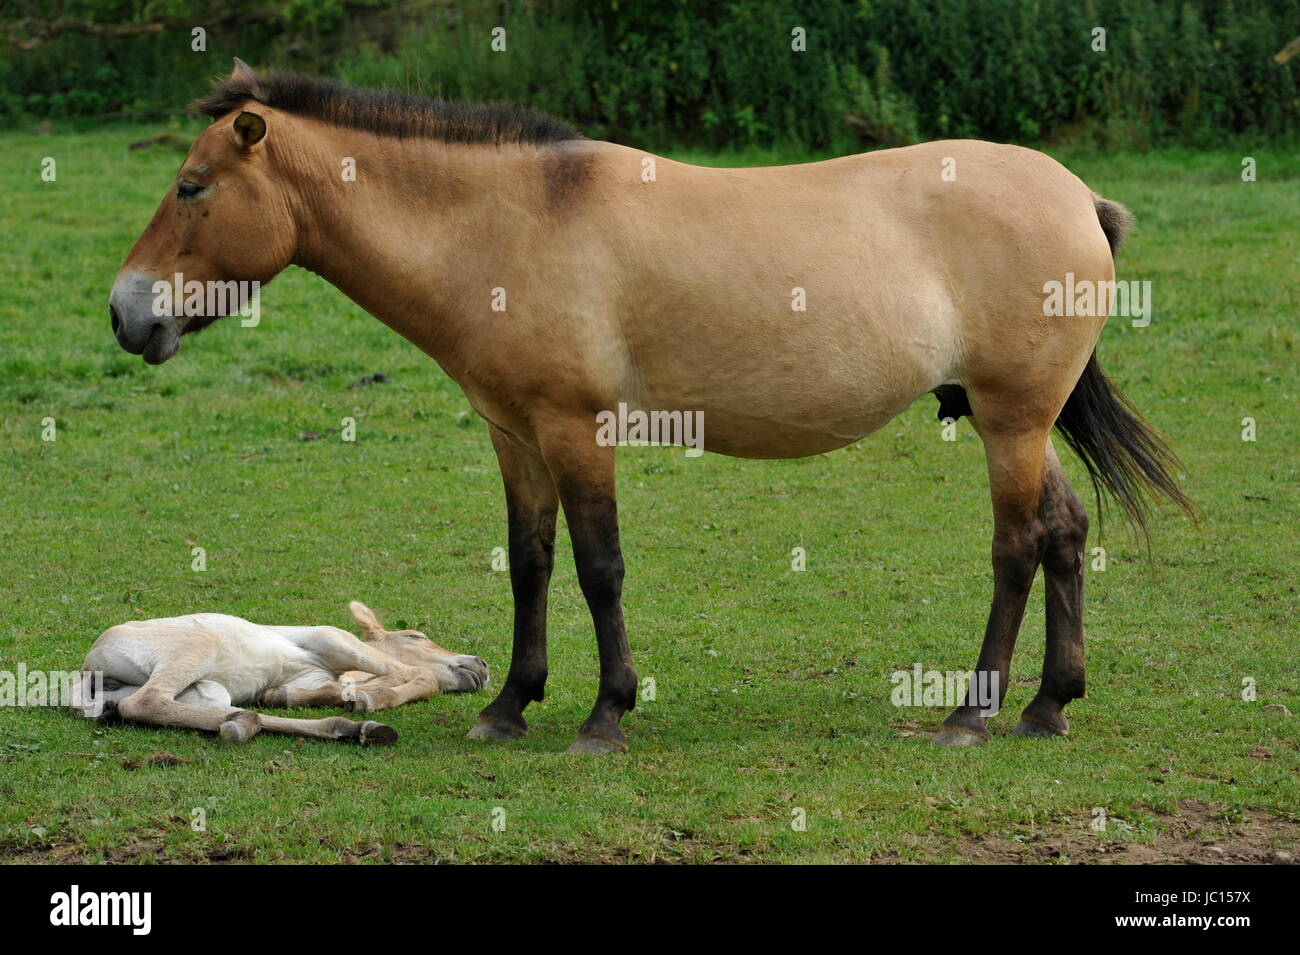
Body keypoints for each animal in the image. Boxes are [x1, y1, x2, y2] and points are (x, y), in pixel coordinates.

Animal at [72, 601, 489, 745]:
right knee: (146, 701)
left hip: (206, 689)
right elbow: (421, 677)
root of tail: (85, 672)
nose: (481, 665)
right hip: (196, 647)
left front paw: (352, 696)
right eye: (416, 636)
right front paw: (368, 698)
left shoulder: (307, 677)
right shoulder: (329, 637)